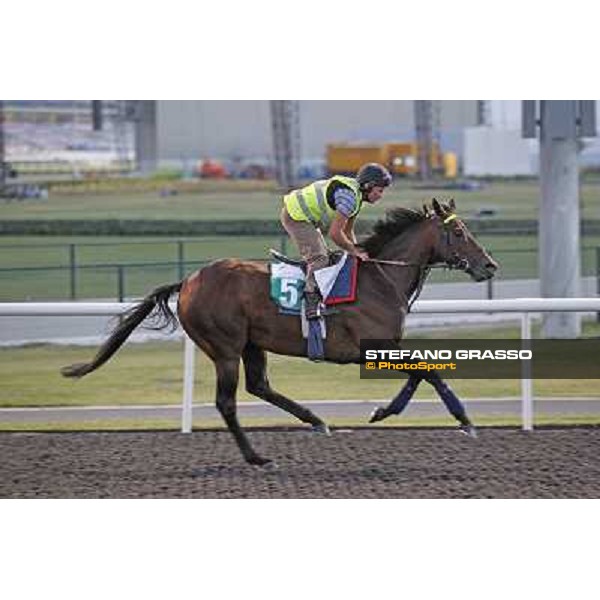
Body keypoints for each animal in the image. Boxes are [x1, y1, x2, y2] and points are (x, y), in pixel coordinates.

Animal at [64, 199, 496, 466]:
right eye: (459, 232)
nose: (490, 266)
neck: (380, 277)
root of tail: (188, 281)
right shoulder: (371, 347)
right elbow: (428, 371)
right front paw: (464, 420)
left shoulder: (387, 346)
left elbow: (420, 372)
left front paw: (383, 411)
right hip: (225, 347)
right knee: (227, 402)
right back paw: (256, 456)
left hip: (252, 344)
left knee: (260, 386)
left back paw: (317, 421)